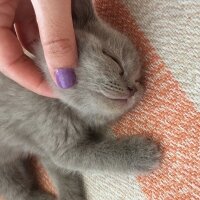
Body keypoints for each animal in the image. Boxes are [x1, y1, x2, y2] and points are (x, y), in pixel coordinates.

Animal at [0, 0, 159, 200]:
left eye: (138, 81)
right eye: (113, 59)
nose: (132, 88)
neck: (65, 106)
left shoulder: (49, 147)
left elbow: (62, 170)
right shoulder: (62, 149)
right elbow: (98, 156)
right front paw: (141, 154)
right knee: (18, 191)